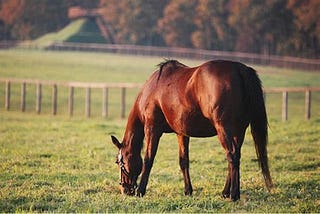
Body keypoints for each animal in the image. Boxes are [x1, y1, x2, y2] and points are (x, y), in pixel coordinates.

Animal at [110, 58, 272, 201]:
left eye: (119, 162)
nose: (125, 189)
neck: (152, 90)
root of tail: (240, 70)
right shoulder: (182, 133)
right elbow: (184, 161)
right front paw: (188, 190)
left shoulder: (152, 129)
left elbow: (148, 159)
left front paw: (141, 191)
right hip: (239, 131)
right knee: (235, 156)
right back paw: (226, 192)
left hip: (224, 129)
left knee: (232, 155)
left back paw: (233, 194)